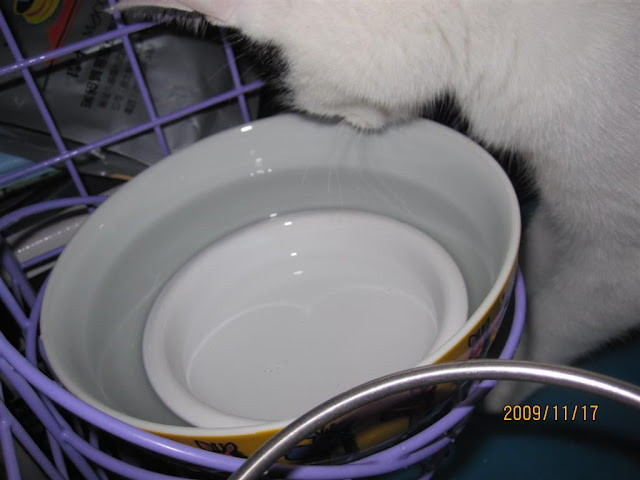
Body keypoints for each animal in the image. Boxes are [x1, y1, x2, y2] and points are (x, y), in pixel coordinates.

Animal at [115, 0, 640, 411]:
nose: (349, 123)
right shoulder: (562, 211)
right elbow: (544, 251)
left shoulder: (616, 265)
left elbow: (560, 317)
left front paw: (513, 380)